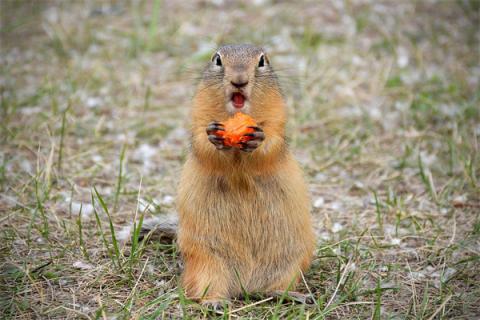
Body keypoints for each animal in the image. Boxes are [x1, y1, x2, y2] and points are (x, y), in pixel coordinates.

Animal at [122, 43, 316, 304]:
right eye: (217, 60)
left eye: (262, 61)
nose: (239, 80)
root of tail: (246, 286)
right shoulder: (198, 116)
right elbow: (203, 145)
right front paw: (214, 137)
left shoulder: (277, 120)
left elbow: (272, 144)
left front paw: (257, 138)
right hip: (207, 263)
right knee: (203, 289)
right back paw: (215, 301)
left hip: (291, 263)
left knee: (273, 288)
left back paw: (294, 295)